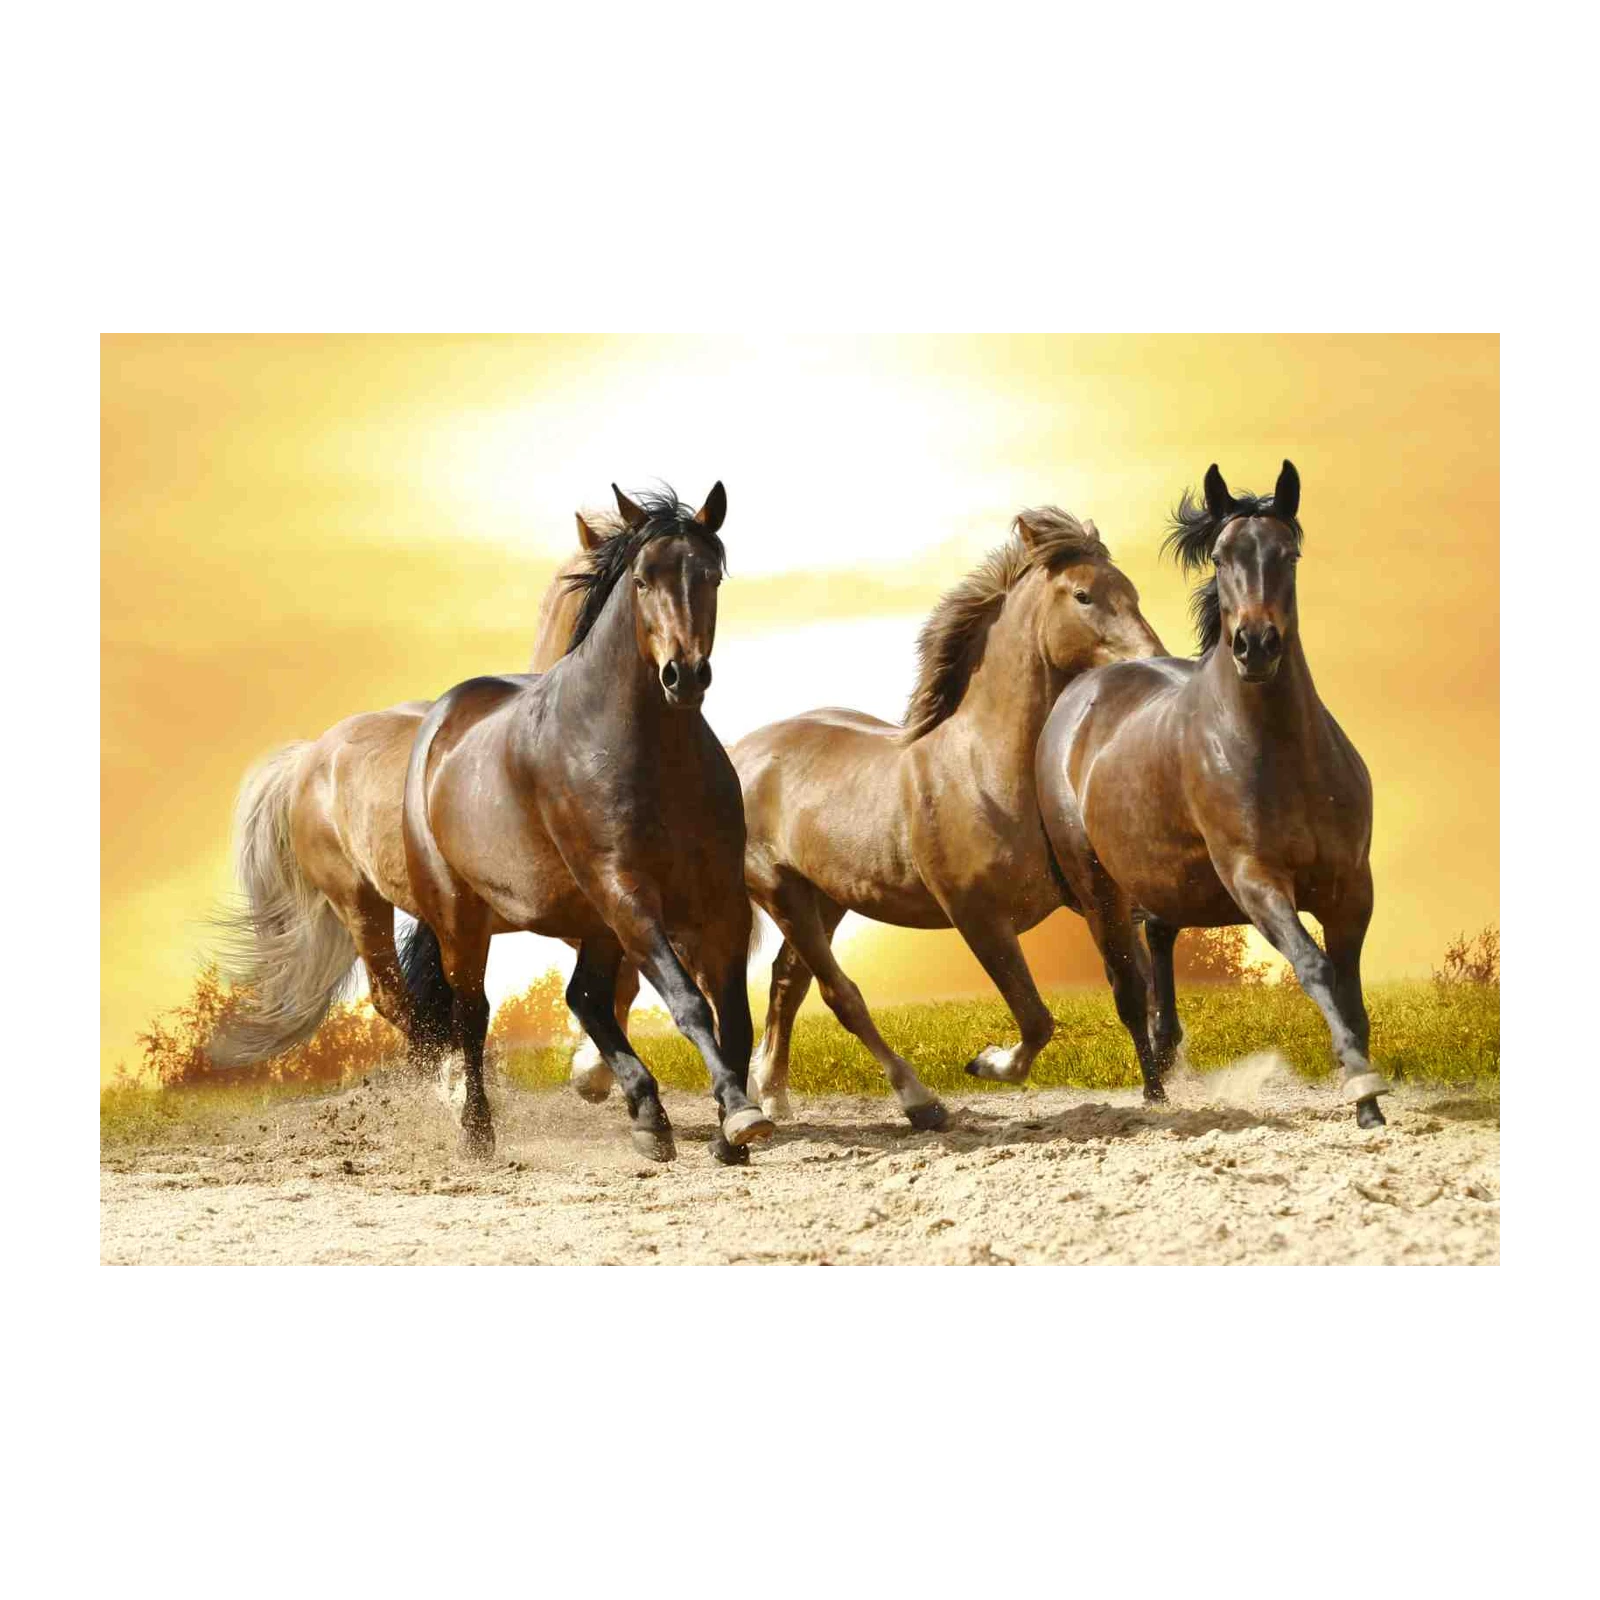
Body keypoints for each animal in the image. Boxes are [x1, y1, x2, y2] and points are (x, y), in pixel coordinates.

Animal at [402, 483, 771, 1163]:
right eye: (643, 579)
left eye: (710, 576)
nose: (684, 675)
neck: (648, 753)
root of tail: (439, 724)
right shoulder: (626, 891)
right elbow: (689, 1004)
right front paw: (739, 1114)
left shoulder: (720, 899)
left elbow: (733, 1014)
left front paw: (731, 1130)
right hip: (464, 918)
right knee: (474, 1013)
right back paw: (477, 1133)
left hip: (593, 920)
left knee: (585, 997)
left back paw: (648, 1116)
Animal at [731, 508, 1166, 1130]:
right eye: (1083, 595)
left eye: (1131, 590)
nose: (1152, 661)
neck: (985, 768)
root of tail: (741, 753)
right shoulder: (977, 917)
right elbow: (1036, 1019)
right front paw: (986, 1062)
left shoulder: (1097, 898)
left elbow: (1133, 991)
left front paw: (1161, 1094)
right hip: (782, 893)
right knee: (840, 994)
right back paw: (921, 1102)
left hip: (826, 899)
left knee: (787, 983)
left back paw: (773, 1093)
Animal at [1035, 461, 1387, 1128]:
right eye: (1222, 557)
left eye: (1289, 553)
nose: (1255, 645)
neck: (1280, 753)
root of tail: (1079, 695)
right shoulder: (1255, 878)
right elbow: (1315, 967)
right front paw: (1362, 1087)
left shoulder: (1351, 885)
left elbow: (1351, 988)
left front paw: (1368, 1099)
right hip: (1099, 891)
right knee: (1128, 989)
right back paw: (1153, 1097)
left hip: (1165, 881)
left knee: (1159, 951)